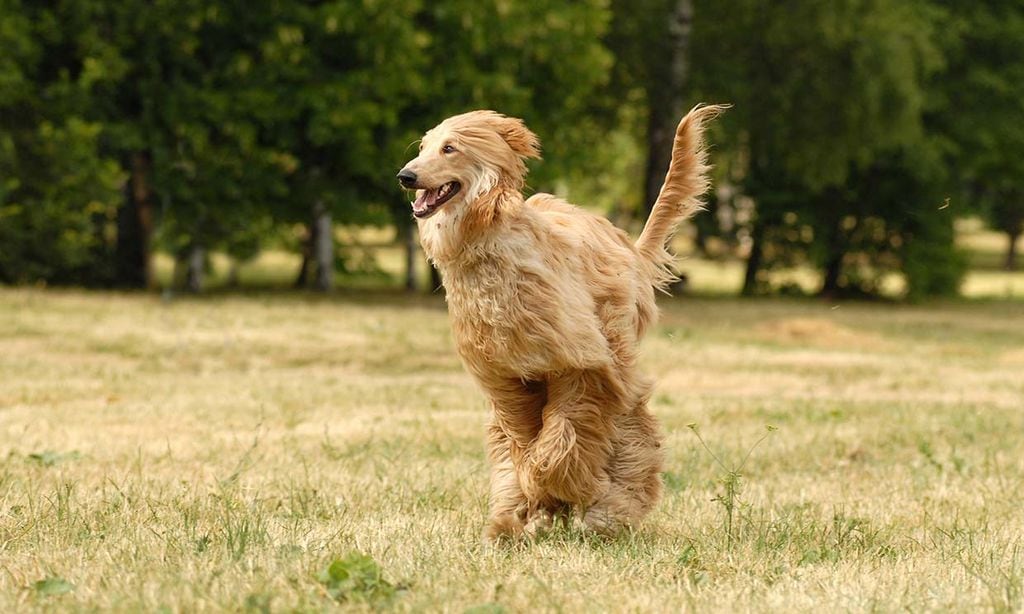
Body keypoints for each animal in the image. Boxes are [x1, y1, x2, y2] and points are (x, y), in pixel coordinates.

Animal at [395, 105, 724, 540]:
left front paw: (557, 490)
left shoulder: (578, 364)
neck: (490, 246)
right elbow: (521, 441)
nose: (405, 176)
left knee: (631, 426)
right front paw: (532, 506)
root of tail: (629, 248)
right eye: (423, 147)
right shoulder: (508, 378)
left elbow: (563, 435)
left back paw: (613, 510)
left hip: (614, 346)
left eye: (449, 148)